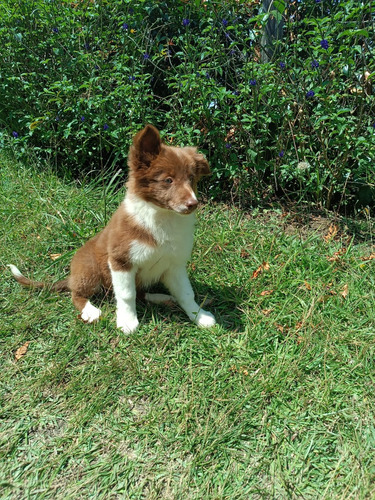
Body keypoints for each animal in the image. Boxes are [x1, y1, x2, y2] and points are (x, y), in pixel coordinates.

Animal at [8, 124, 217, 332]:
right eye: (168, 180)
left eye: (191, 179)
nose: (193, 204)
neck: (161, 217)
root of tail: (71, 276)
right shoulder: (121, 260)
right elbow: (126, 295)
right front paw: (127, 322)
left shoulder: (174, 264)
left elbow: (186, 293)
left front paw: (199, 316)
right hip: (89, 270)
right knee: (77, 294)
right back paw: (90, 311)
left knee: (141, 293)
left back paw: (162, 298)